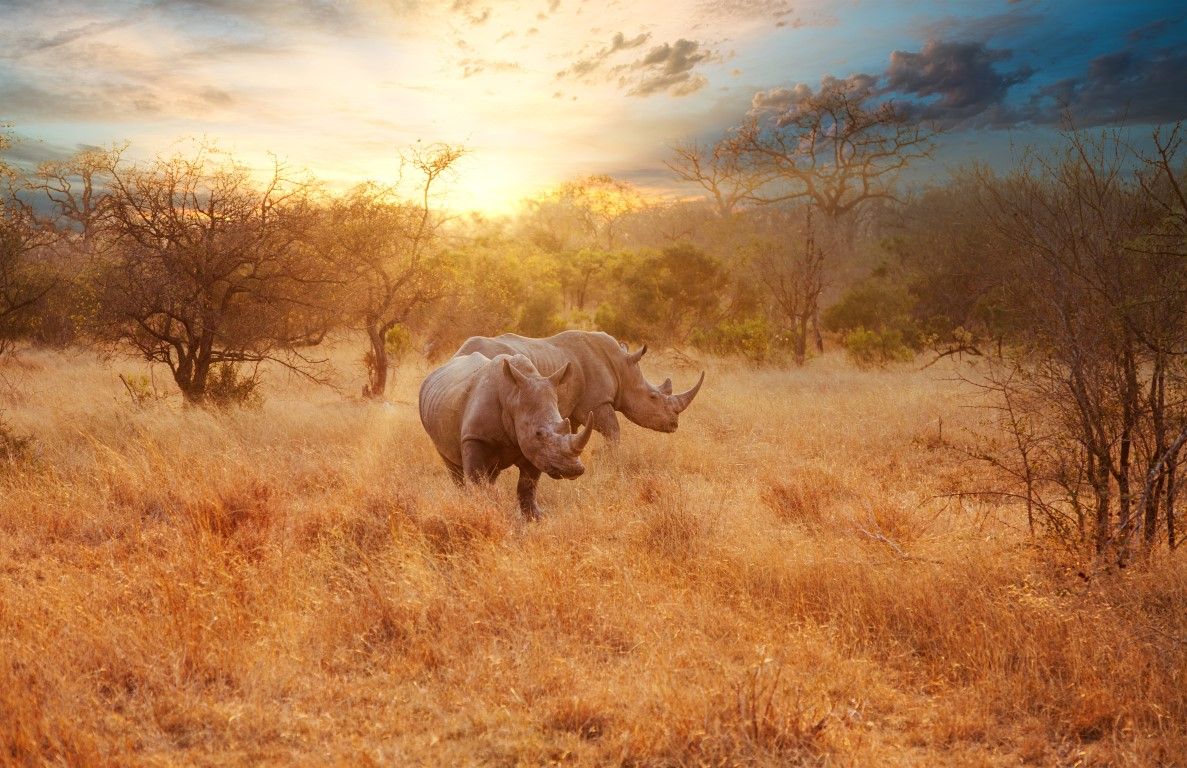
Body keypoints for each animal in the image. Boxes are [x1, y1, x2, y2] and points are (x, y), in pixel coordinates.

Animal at [418, 351, 595, 519]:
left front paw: (534, 518)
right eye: (538, 434)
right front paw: (479, 510)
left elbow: (527, 485)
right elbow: (476, 480)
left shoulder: (535, 451)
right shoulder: (475, 437)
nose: (573, 469)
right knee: (453, 467)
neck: (512, 397)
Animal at [453, 331, 704, 444]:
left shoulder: (572, 407)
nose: (674, 424)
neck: (622, 368)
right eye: (653, 397)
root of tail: (459, 354)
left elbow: (573, 432)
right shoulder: (595, 402)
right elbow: (613, 431)